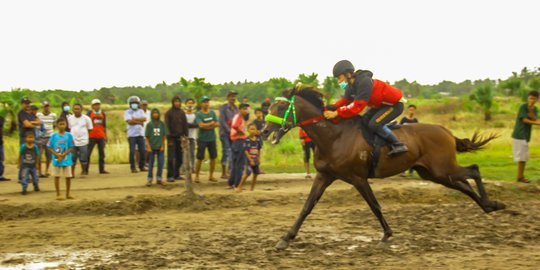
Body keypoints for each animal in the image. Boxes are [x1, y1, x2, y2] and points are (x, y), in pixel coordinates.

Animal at [262, 87, 506, 251]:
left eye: (281, 107)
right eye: (271, 106)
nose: (264, 131)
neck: (334, 135)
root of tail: (446, 131)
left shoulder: (358, 178)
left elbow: (375, 206)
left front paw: (387, 234)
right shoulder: (324, 175)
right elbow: (307, 206)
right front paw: (285, 238)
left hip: (442, 169)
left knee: (473, 170)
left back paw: (493, 204)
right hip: (435, 173)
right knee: (464, 184)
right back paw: (489, 206)